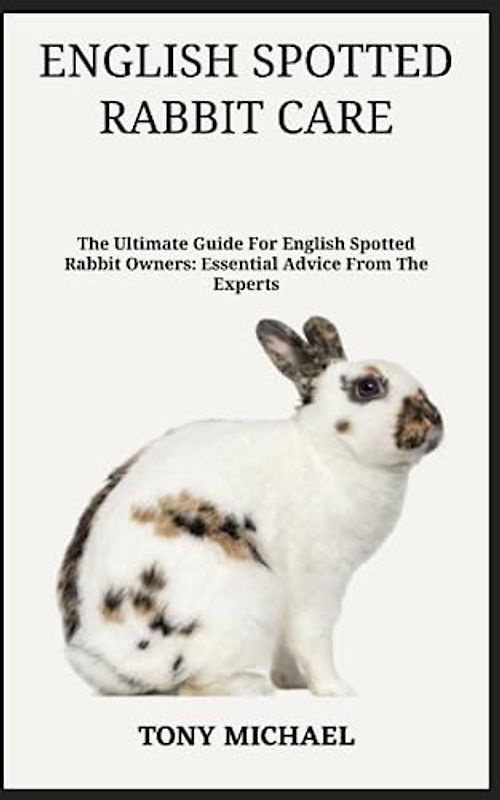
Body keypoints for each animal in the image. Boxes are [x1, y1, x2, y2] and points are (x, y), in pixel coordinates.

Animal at [58, 316, 443, 696]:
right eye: (368, 387)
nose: (434, 420)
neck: (329, 450)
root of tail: (118, 667)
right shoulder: (317, 580)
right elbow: (312, 638)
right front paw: (336, 690)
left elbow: (287, 647)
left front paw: (293, 682)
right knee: (196, 685)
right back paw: (252, 686)